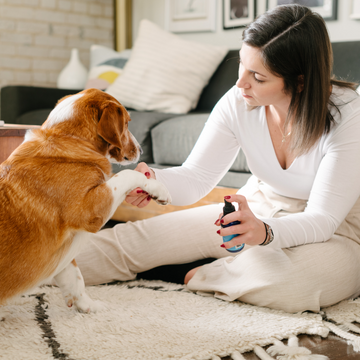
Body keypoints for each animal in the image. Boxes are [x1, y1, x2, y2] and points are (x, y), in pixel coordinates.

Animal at [0, 88, 172, 316]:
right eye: (127, 123)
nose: (142, 150)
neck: (69, 138)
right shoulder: (90, 210)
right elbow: (127, 175)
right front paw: (158, 188)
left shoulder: (65, 250)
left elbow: (75, 277)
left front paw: (88, 306)